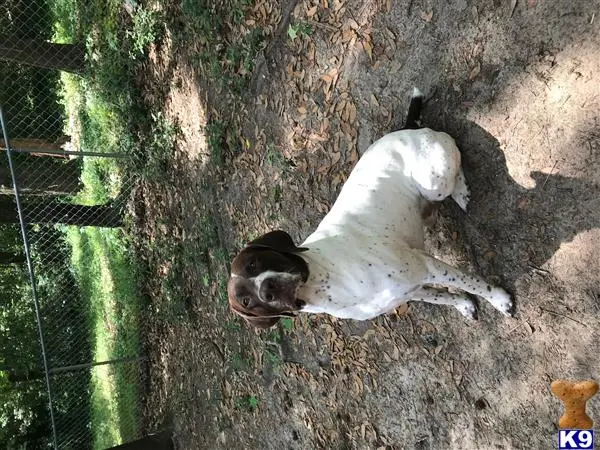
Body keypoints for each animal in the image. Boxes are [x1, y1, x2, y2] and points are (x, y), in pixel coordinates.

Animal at [227, 89, 512, 326]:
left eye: (254, 264)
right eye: (247, 301)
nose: (267, 289)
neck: (325, 278)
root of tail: (404, 129)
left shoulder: (426, 267)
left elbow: (474, 283)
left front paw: (498, 299)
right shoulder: (413, 289)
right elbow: (447, 297)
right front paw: (464, 305)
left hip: (435, 180)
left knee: (452, 149)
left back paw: (461, 190)